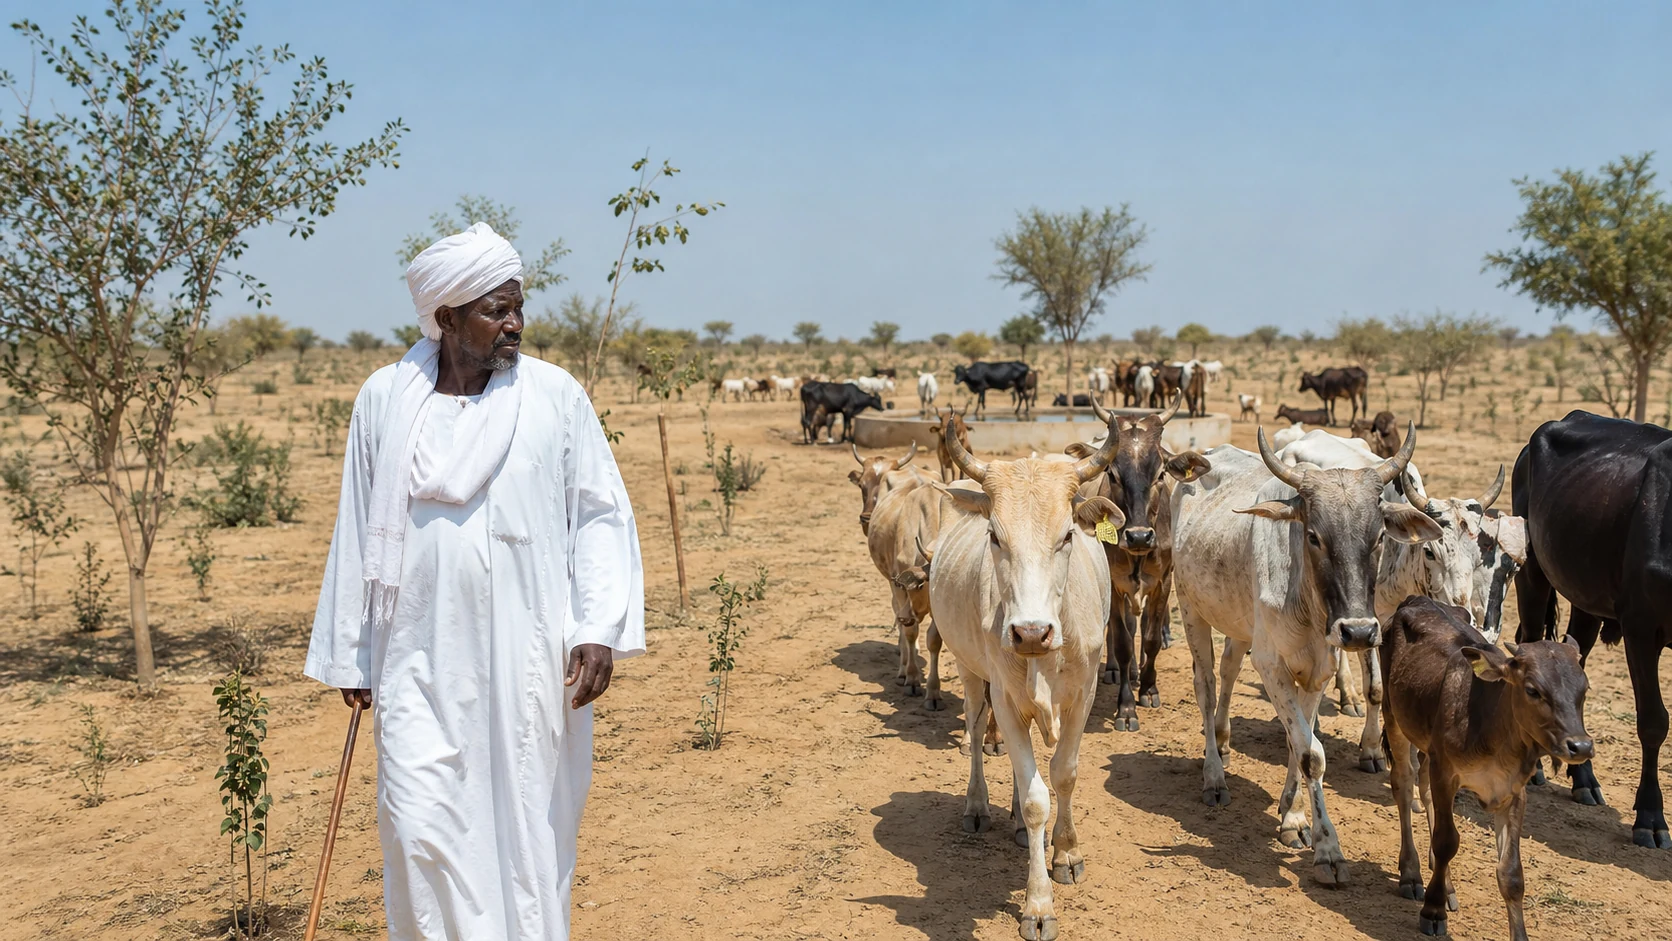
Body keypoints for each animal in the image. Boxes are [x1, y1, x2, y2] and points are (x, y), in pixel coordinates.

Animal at [929, 416, 1118, 941]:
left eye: (1068, 535)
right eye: (995, 536)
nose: (1031, 631)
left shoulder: (1084, 695)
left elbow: (1065, 774)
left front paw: (1067, 852)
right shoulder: (1006, 698)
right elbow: (1036, 798)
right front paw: (1037, 905)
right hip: (971, 671)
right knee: (976, 729)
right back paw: (979, 806)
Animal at [1070, 394, 1210, 732]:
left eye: (1160, 474)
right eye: (1112, 474)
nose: (1138, 536)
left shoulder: (1162, 582)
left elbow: (1150, 638)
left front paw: (1148, 689)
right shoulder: (1115, 584)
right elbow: (1122, 641)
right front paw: (1126, 707)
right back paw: (1117, 670)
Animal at [1170, 426, 1440, 884]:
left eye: (1379, 537)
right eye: (1314, 535)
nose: (1359, 631)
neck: (1309, 605)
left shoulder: (1320, 668)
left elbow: (1302, 741)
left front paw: (1293, 816)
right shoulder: (1270, 664)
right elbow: (1312, 752)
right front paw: (1328, 849)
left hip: (1239, 623)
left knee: (1228, 671)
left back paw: (1223, 741)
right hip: (1191, 611)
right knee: (1205, 687)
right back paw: (1213, 774)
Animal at [1382, 595, 1592, 941]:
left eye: (1584, 689)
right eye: (1532, 690)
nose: (1581, 746)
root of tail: (1418, 599)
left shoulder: (1513, 791)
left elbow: (1511, 872)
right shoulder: (1446, 772)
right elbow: (1446, 841)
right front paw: (1432, 911)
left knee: (1422, 788)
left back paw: (1445, 884)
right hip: (1394, 716)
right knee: (1403, 785)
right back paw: (1411, 873)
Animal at [1512, 411, 1672, 847]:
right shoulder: (1641, 628)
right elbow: (1654, 721)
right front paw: (1651, 816)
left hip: (1585, 601)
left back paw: (1584, 779)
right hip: (1532, 574)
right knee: (1530, 643)